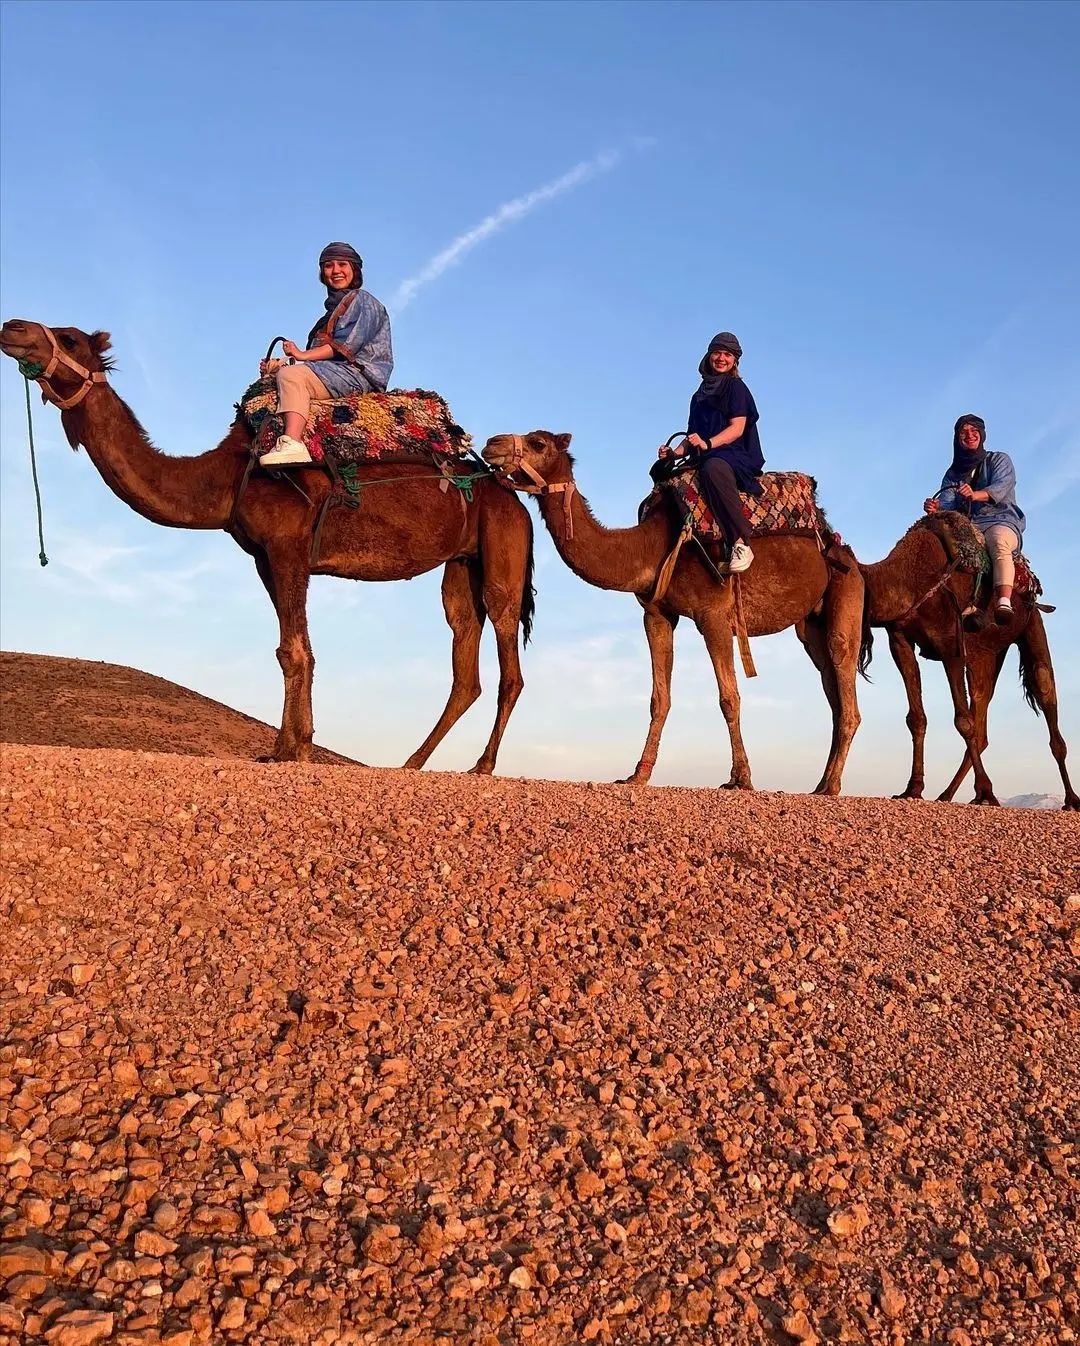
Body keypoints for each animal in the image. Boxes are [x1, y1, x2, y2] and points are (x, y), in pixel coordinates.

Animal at [0, 316, 533, 775]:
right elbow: (289, 648)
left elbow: (296, 650)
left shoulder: (288, 545)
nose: (13, 327)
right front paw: (289, 746)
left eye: (70, 339)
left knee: (508, 655)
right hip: (460, 565)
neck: (228, 475)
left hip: (503, 548)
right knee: (464, 653)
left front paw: (291, 750)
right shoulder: (262, 558)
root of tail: (513, 497)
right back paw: (412, 762)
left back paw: (482, 766)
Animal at [479, 430, 867, 791]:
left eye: (539, 443)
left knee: (844, 679)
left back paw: (830, 786)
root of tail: (841, 547)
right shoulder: (657, 614)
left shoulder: (713, 614)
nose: (491, 444)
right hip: (810, 626)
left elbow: (729, 698)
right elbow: (659, 698)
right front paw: (638, 775)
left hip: (846, 592)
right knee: (833, 692)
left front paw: (741, 778)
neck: (650, 547)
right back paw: (821, 783)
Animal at [856, 516, 1071, 807]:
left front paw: (988, 791)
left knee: (1045, 691)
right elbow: (917, 718)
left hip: (1031, 625)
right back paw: (949, 794)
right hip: (986, 654)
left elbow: (963, 721)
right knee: (982, 714)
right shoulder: (900, 641)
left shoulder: (951, 644)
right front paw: (913, 788)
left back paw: (1070, 799)